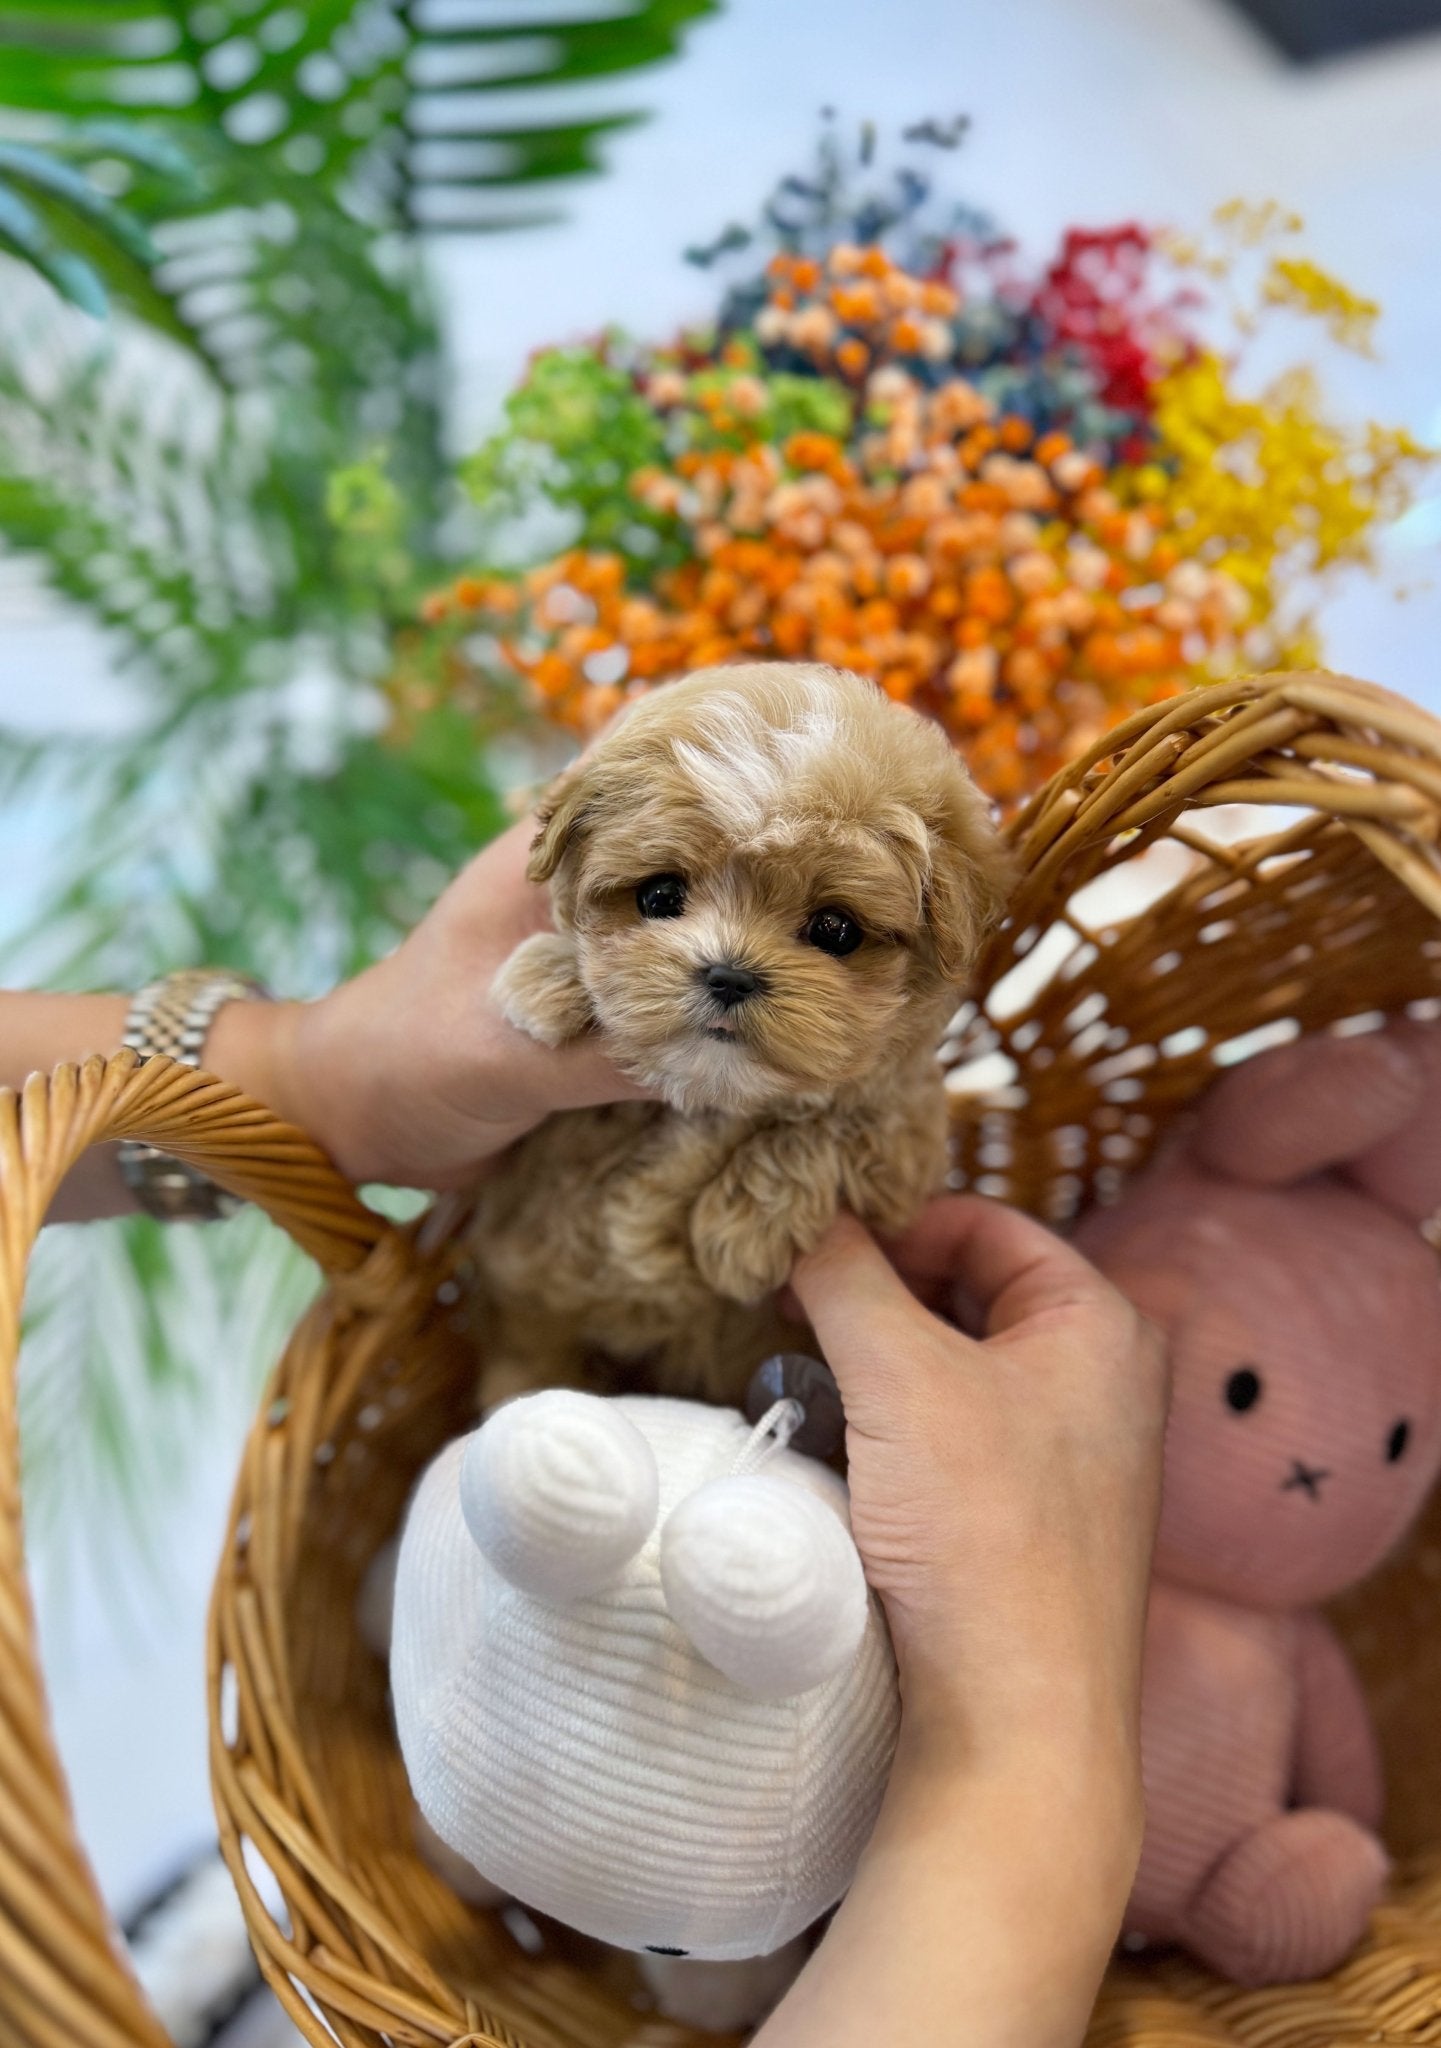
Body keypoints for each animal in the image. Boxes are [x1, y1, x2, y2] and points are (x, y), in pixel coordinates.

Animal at [466, 667, 1007, 1409]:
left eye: (835, 929)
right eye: (659, 896)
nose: (728, 975)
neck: (711, 1099)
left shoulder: (908, 1159)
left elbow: (847, 1124)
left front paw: (742, 1229)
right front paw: (549, 975)